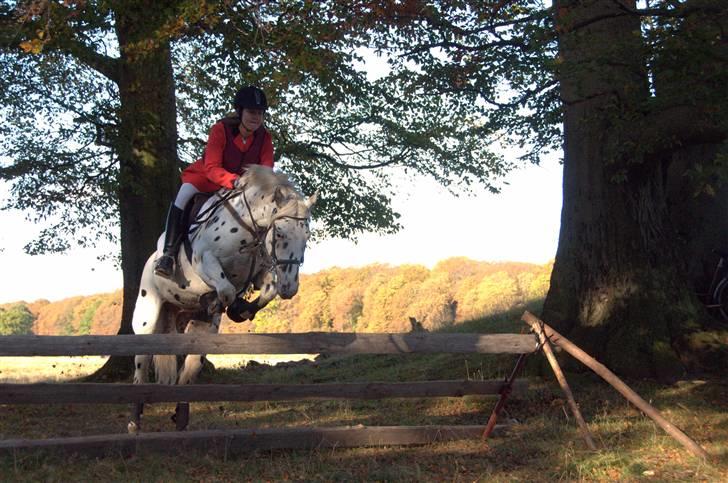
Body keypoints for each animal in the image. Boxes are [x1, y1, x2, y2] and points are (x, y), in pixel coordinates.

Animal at [129, 164, 316, 432]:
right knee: (141, 369)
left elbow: (267, 289)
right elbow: (226, 289)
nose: (290, 287)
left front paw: (240, 310)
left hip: (194, 329)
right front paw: (219, 301)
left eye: (308, 236)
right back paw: (134, 423)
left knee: (188, 370)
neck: (249, 229)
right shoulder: (205, 260)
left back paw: (180, 419)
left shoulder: (259, 272)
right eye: (279, 233)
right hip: (147, 318)